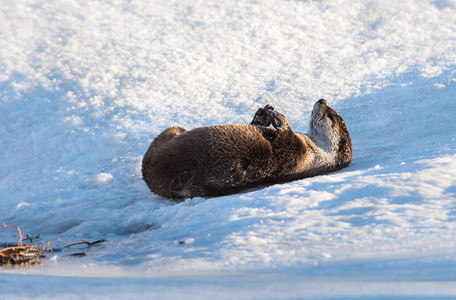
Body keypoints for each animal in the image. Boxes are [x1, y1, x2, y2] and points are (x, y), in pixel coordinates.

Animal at [142, 99, 352, 200]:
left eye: (331, 116)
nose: (322, 100)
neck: (313, 153)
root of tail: (149, 176)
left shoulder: (295, 155)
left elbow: (283, 139)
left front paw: (278, 117)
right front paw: (262, 115)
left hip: (167, 138)